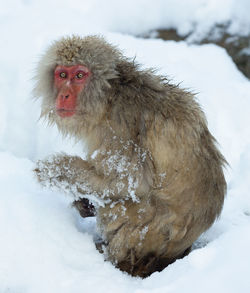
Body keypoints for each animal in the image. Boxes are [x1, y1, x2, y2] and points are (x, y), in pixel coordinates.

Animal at [33, 34, 227, 276]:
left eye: (79, 75)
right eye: (62, 75)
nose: (64, 95)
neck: (108, 96)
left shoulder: (119, 127)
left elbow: (129, 181)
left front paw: (57, 170)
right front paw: (82, 200)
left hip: (154, 231)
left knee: (121, 208)